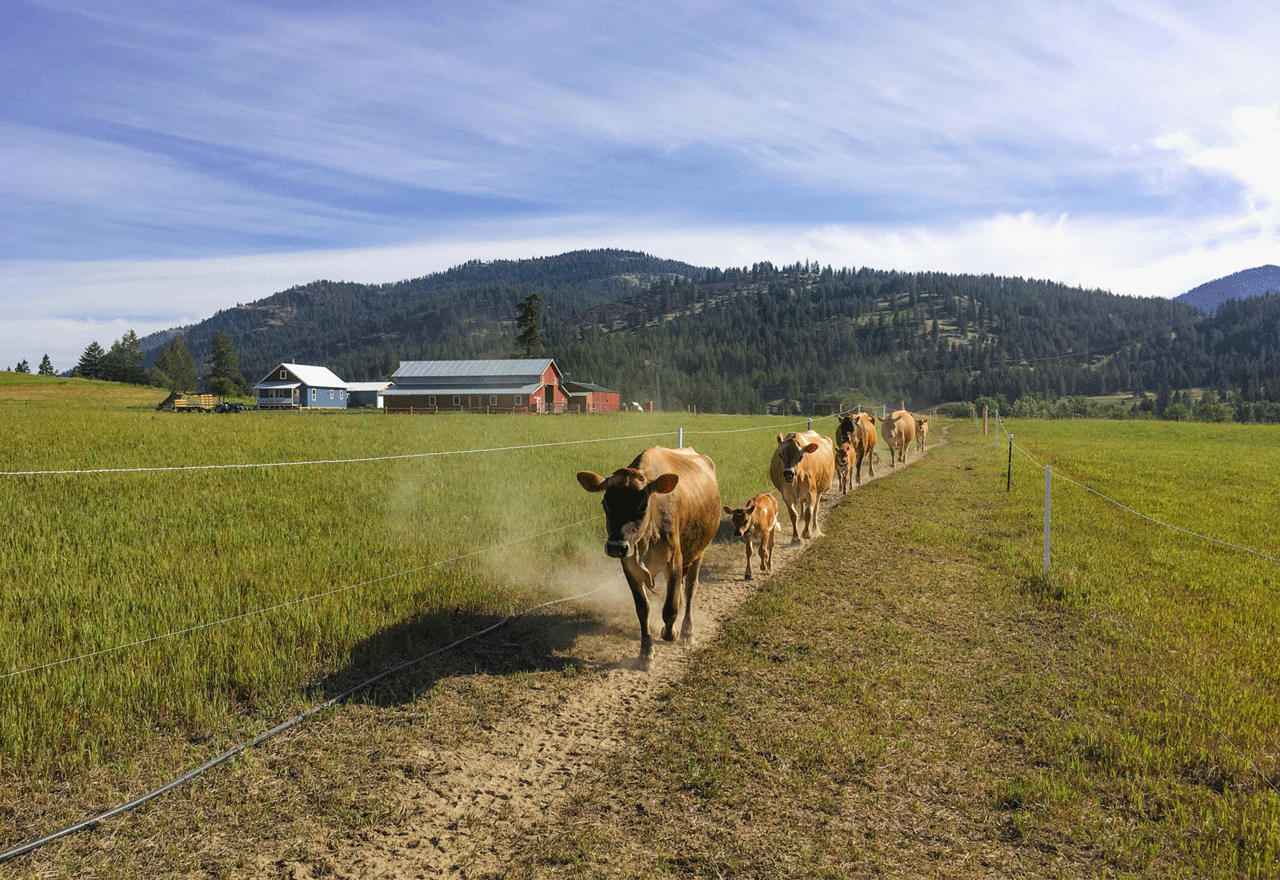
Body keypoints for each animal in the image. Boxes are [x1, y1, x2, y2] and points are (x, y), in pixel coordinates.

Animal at [578, 442, 721, 670]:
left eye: (643, 506)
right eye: (605, 503)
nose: (616, 547)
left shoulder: (675, 562)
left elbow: (670, 608)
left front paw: (670, 632)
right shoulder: (629, 566)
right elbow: (642, 608)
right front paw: (646, 653)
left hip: (699, 551)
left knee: (690, 589)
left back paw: (687, 630)